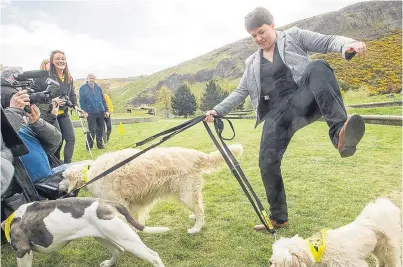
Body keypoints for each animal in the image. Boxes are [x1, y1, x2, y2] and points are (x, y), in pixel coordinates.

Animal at [1, 198, 169, 267]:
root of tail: (107, 203)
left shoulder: (23, 251)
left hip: (127, 240)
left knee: (154, 256)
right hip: (103, 236)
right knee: (117, 250)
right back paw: (109, 264)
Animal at [60, 146, 243, 236]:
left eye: (62, 177)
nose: (59, 188)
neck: (91, 173)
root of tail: (195, 155)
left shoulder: (118, 202)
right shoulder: (130, 204)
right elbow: (134, 219)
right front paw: (136, 229)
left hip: (186, 194)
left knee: (200, 211)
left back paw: (196, 228)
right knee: (199, 208)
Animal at [270, 198, 402, 267]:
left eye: (277, 262)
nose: (269, 262)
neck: (316, 250)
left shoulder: (353, 264)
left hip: (388, 250)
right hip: (377, 249)